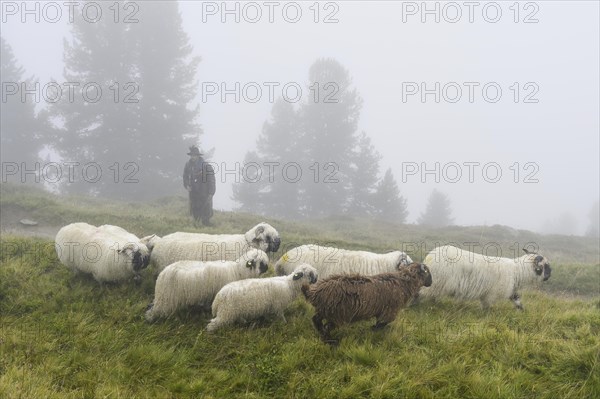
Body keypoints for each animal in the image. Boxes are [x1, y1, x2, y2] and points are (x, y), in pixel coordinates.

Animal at [302, 264, 434, 346]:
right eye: (427, 272)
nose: (431, 283)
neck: (404, 282)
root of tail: (316, 291)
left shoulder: (383, 312)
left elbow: (380, 323)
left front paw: (373, 329)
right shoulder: (389, 311)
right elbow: (382, 323)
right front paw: (372, 329)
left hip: (325, 310)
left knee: (316, 319)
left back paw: (321, 333)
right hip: (337, 313)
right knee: (326, 326)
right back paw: (330, 341)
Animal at [418, 245, 552, 310]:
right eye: (545, 266)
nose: (549, 276)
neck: (518, 271)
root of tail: (429, 257)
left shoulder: (511, 290)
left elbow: (517, 300)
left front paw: (522, 311)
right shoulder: (491, 294)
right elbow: (486, 307)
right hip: (435, 282)